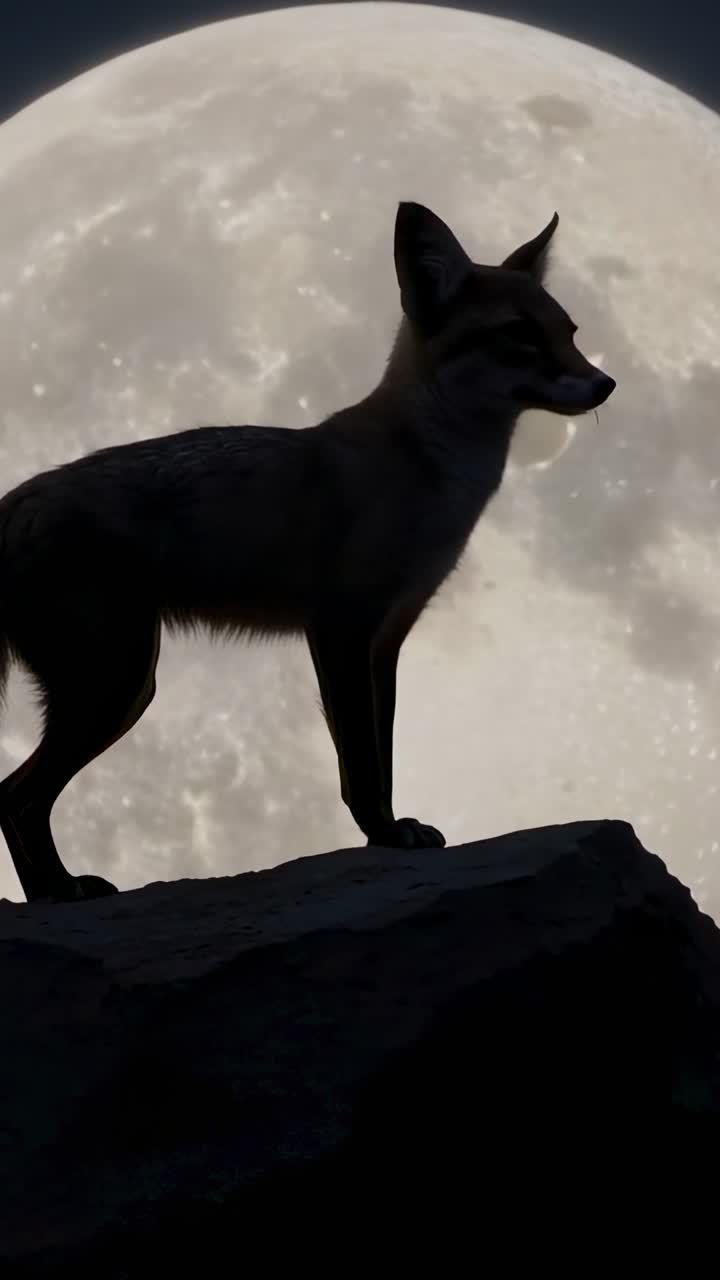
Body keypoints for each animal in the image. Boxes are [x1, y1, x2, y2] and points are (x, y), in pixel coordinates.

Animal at [0, 201, 614, 903]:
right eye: (520, 335)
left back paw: (52, 894)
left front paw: (393, 831)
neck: (429, 474)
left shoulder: (385, 640)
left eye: (568, 331)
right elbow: (361, 768)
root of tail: (13, 502)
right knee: (15, 797)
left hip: (121, 687)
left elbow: (382, 758)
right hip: (117, 684)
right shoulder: (341, 630)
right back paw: (59, 891)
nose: (606, 384)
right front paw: (384, 834)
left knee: (15, 799)